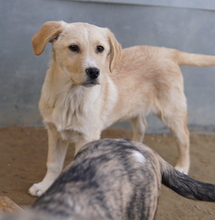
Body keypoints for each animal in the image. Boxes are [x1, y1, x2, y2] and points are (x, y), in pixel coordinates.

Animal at [28, 20, 215, 196]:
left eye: (100, 49)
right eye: (73, 47)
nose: (94, 72)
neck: (70, 95)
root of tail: (168, 51)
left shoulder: (87, 137)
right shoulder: (54, 132)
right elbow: (53, 163)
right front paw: (45, 186)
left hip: (171, 110)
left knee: (184, 137)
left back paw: (182, 166)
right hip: (135, 107)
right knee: (142, 126)